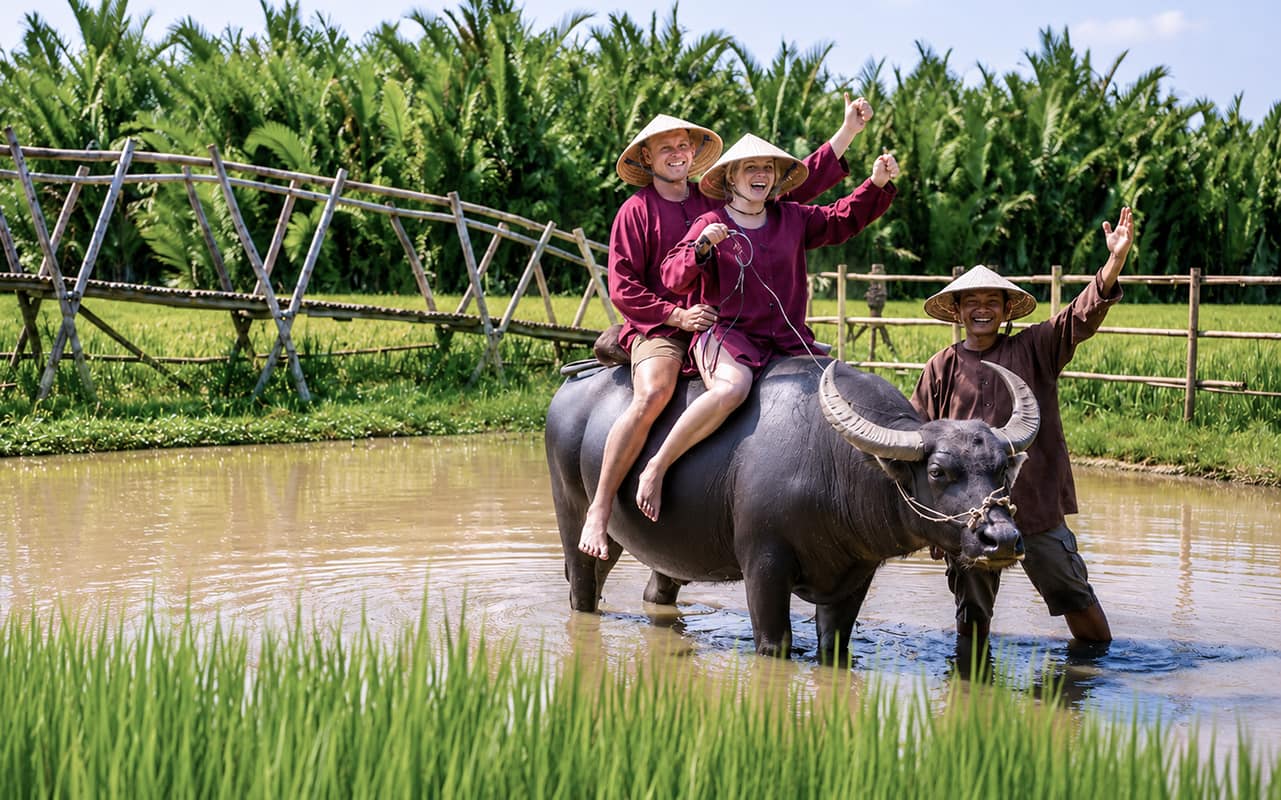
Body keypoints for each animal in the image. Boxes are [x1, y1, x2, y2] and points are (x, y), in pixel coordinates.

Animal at [544, 357, 1039, 661]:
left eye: (1002, 468)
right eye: (937, 471)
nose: (1002, 539)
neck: (835, 464)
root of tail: (567, 388)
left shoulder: (855, 574)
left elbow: (835, 645)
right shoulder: (764, 564)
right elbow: (774, 643)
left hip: (655, 546)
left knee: (655, 589)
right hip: (570, 511)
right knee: (582, 588)